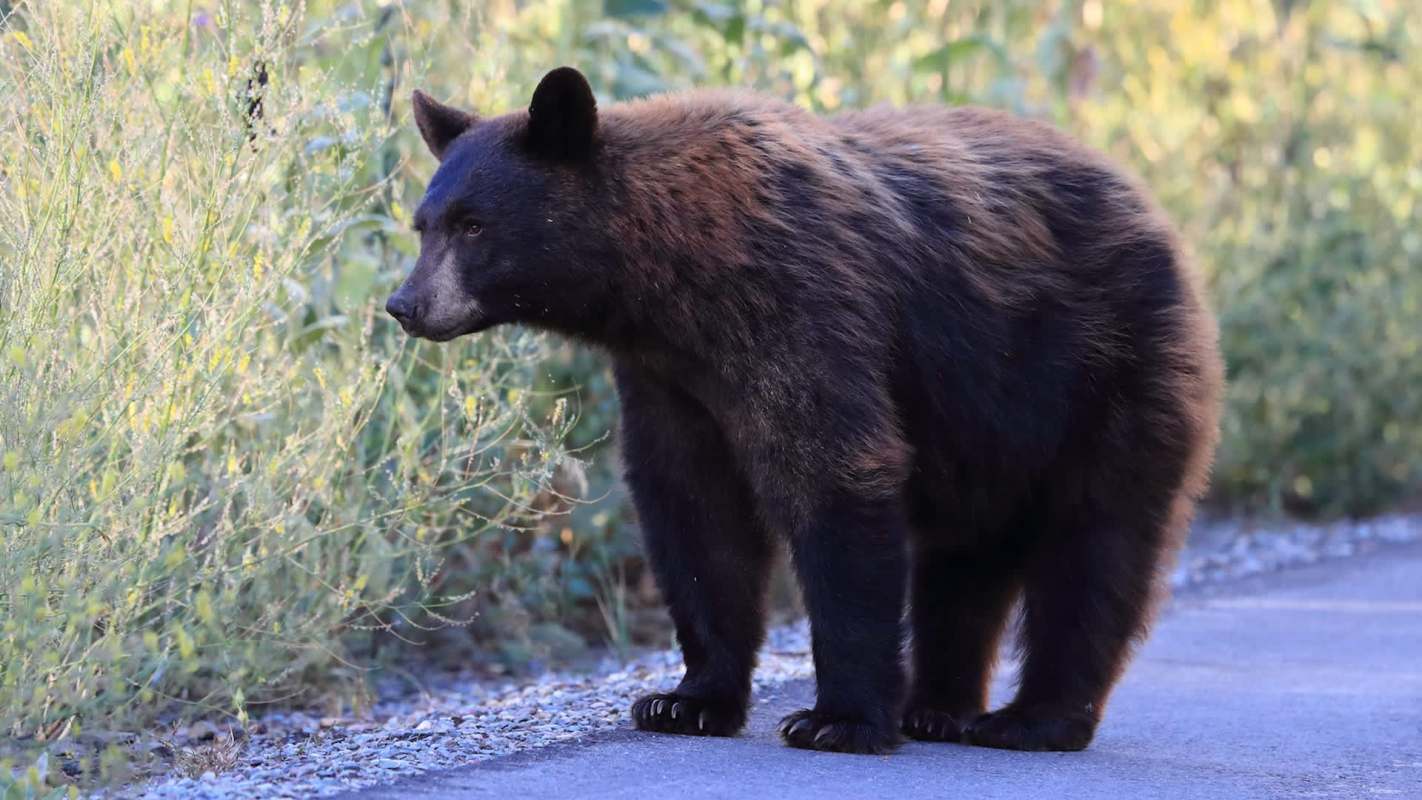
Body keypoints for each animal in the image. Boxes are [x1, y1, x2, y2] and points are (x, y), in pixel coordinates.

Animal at [387, 66, 1223, 755]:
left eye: (473, 224)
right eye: (424, 224)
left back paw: (1034, 719)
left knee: (1097, 547)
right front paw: (686, 700)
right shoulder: (670, 377)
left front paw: (837, 719)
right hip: (993, 427)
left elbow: (833, 470)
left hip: (1107, 373)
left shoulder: (802, 306)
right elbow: (694, 509)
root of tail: (1155, 213)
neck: (673, 279)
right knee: (966, 559)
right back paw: (937, 708)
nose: (405, 304)